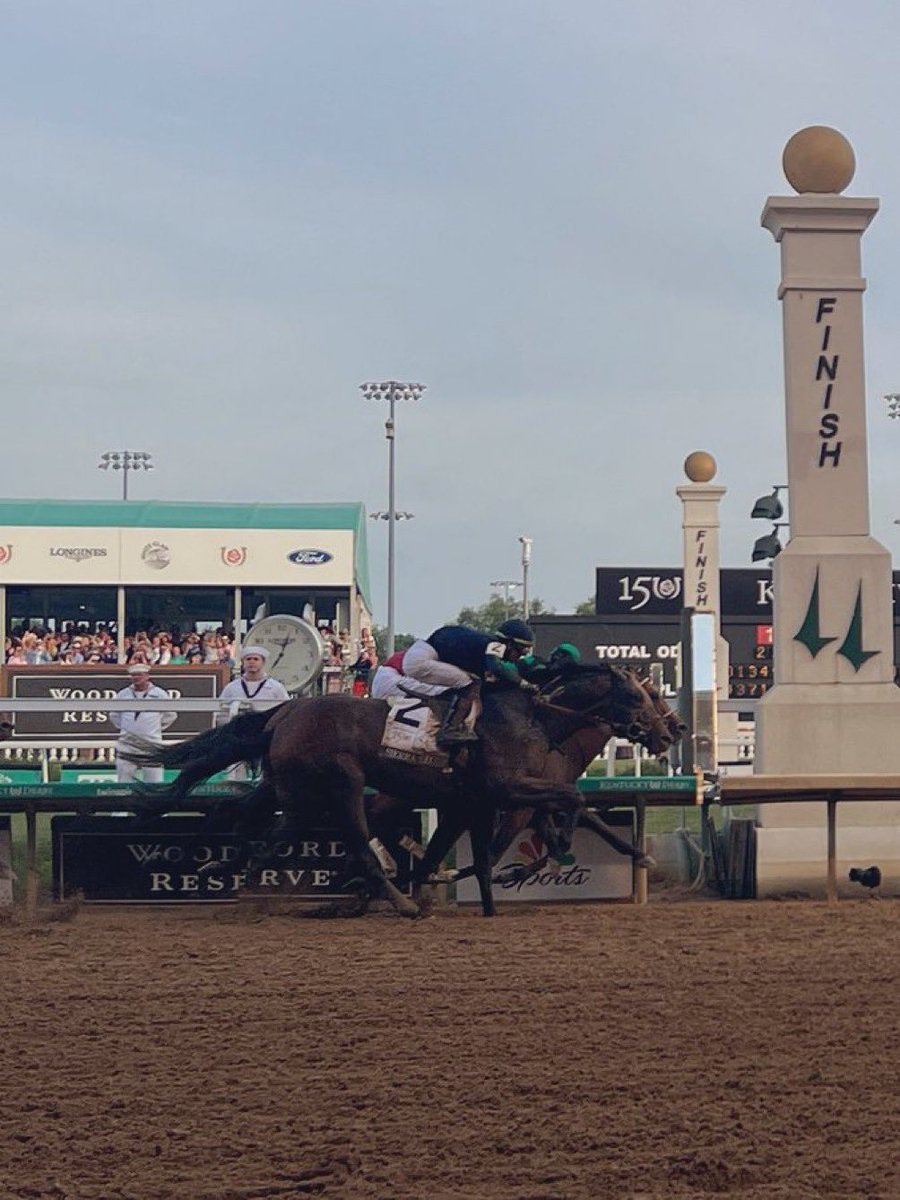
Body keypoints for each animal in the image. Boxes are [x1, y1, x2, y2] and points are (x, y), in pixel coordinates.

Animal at [125, 667, 662, 916]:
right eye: (639, 696)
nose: (666, 731)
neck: (535, 717)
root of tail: (288, 710)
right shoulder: (506, 790)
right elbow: (570, 802)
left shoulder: (475, 802)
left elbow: (480, 851)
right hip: (338, 784)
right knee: (350, 843)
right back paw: (395, 901)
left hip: (288, 786)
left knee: (249, 817)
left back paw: (227, 866)